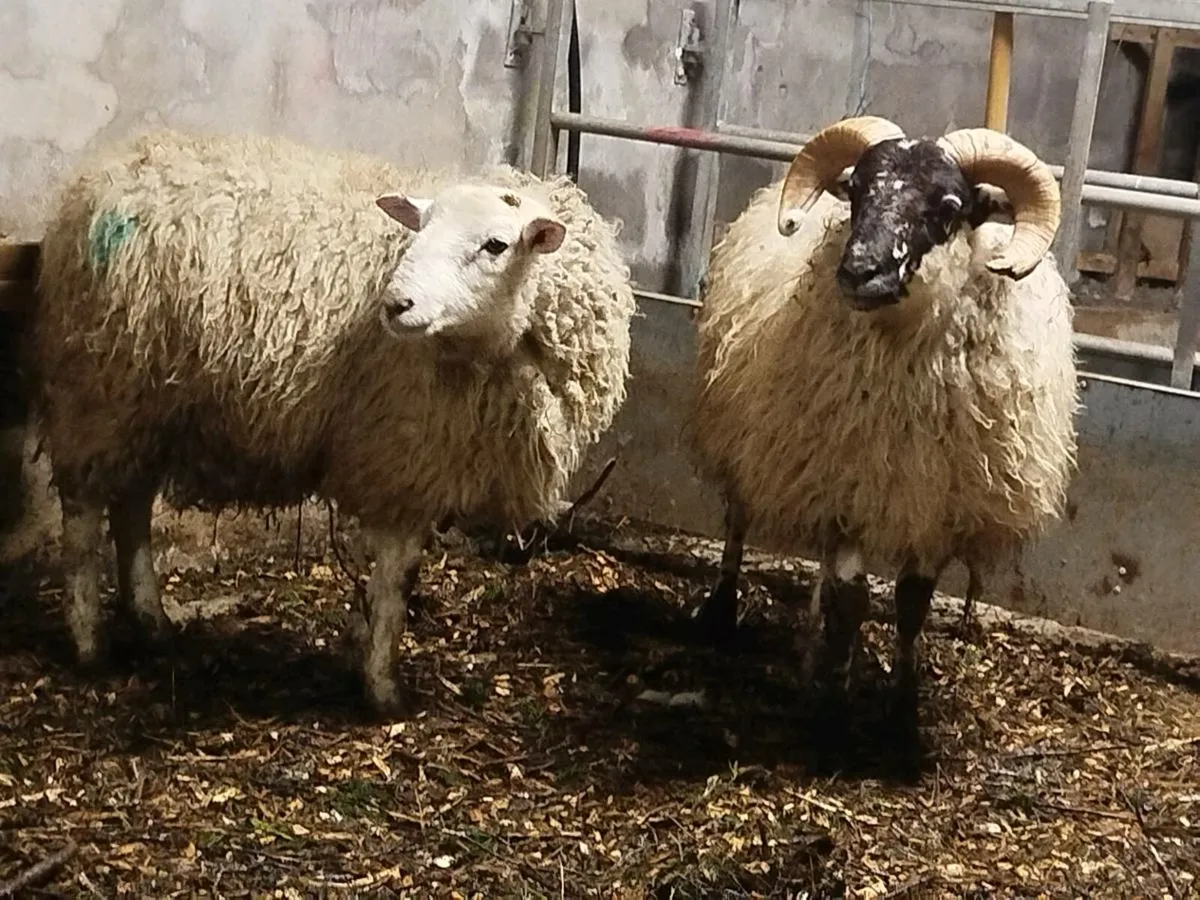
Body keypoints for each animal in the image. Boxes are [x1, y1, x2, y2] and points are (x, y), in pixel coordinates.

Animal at [30, 129, 636, 715]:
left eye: (495, 245)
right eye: (421, 228)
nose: (395, 304)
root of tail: (101, 176)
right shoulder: (401, 454)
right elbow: (396, 581)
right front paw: (383, 688)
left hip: (148, 405)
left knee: (131, 504)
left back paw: (151, 621)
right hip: (101, 389)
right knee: (83, 514)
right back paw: (89, 643)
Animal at [687, 116, 1078, 744]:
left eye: (949, 206)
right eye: (857, 190)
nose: (859, 271)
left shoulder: (938, 509)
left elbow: (911, 605)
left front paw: (902, 712)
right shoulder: (844, 488)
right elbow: (850, 602)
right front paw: (833, 709)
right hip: (745, 436)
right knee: (737, 521)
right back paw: (721, 613)